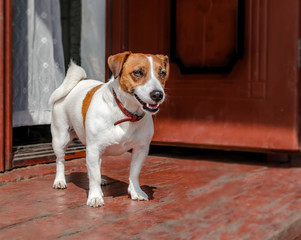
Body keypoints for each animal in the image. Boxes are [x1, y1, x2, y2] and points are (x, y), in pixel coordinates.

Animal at [48, 51, 168, 207]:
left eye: (163, 73)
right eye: (138, 72)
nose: (158, 94)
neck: (127, 114)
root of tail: (79, 82)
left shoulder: (141, 149)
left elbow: (134, 173)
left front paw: (136, 191)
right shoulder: (93, 149)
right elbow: (94, 177)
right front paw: (95, 196)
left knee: (96, 167)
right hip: (61, 138)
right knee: (60, 161)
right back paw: (60, 180)